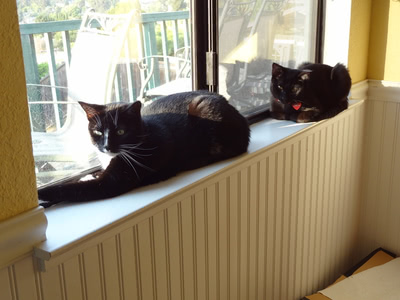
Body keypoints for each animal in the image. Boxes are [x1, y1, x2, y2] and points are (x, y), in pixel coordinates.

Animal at [38, 90, 250, 207]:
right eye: (98, 131)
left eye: (121, 131)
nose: (106, 146)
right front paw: (88, 175)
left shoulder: (110, 183)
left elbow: (74, 188)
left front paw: (42, 195)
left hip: (206, 110)